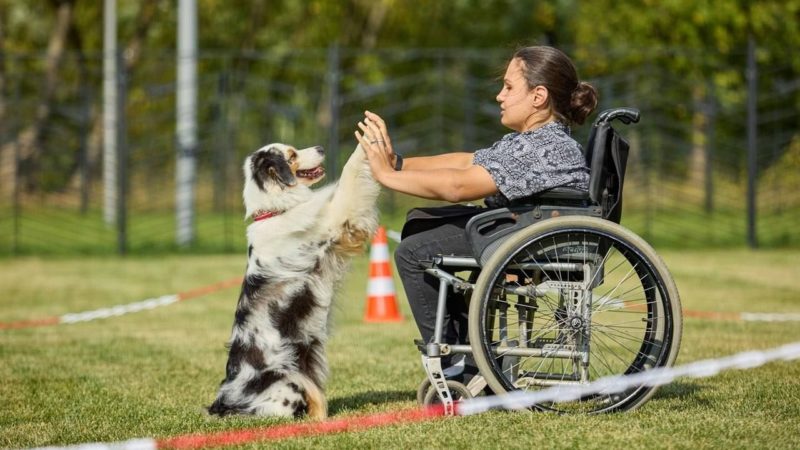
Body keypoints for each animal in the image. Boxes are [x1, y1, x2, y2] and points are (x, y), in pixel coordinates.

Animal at [209, 143, 378, 418]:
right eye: (291, 155)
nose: (320, 147)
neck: (276, 211)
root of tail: (223, 402)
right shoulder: (332, 224)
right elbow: (348, 177)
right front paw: (366, 143)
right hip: (286, 382)